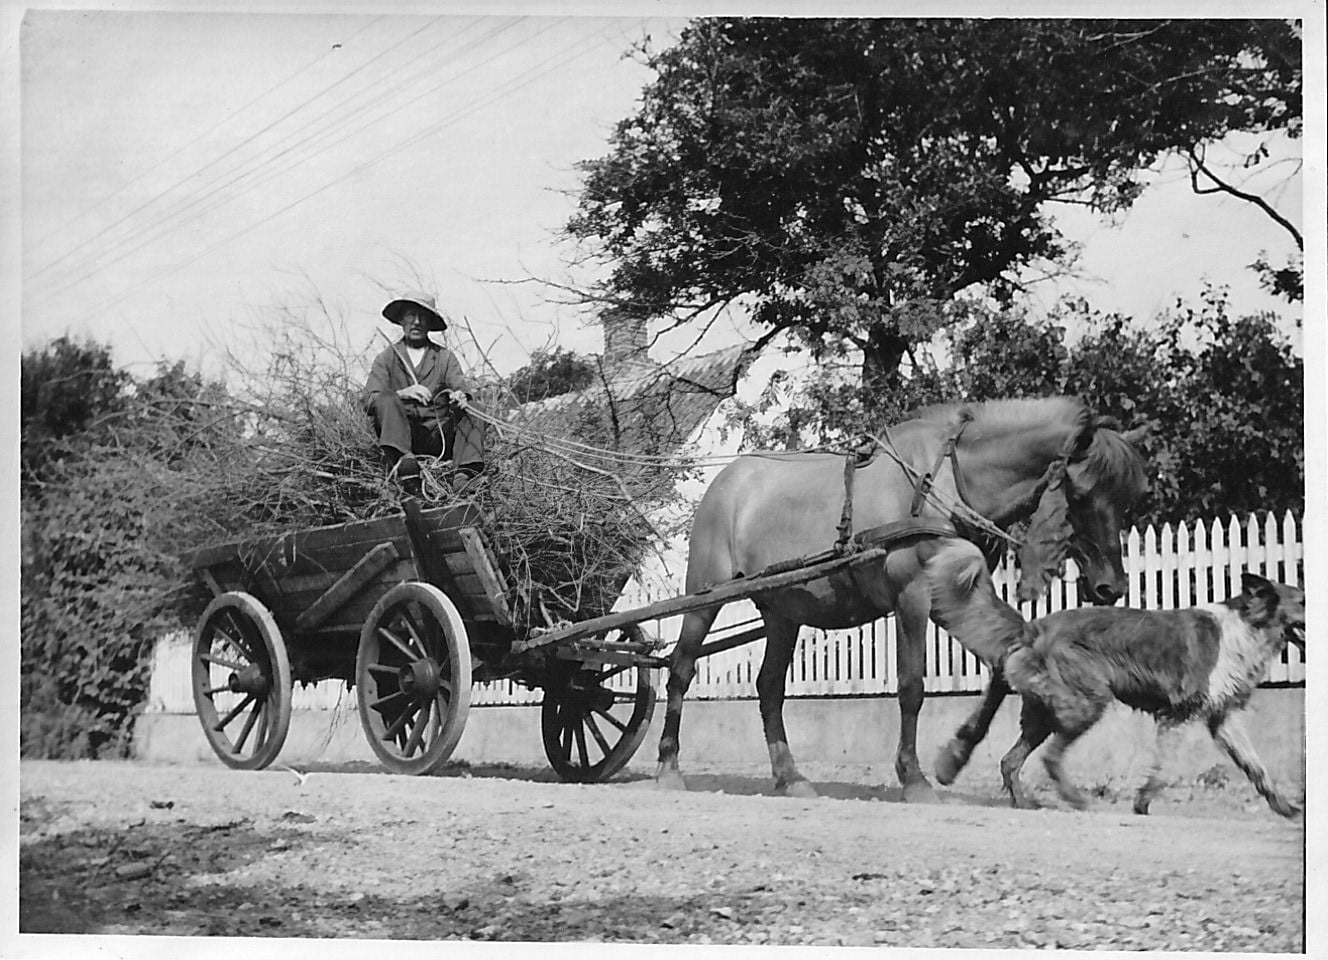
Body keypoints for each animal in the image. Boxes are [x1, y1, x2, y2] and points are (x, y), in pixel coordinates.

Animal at [656, 393, 1152, 801]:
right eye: (1081, 494)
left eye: (1129, 495)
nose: (1111, 586)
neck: (946, 480)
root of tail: (728, 480)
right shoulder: (911, 595)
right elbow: (912, 686)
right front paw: (914, 778)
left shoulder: (956, 595)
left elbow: (1002, 665)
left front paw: (959, 754)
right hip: (705, 597)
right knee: (681, 669)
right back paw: (668, 765)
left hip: (784, 611)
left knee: (770, 687)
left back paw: (790, 776)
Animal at [929, 541, 1301, 817]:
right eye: (1303, 600)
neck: (1246, 628)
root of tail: (1033, 627)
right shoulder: (1178, 716)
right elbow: (1163, 770)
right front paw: (1142, 803)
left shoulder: (1223, 720)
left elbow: (1258, 769)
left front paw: (1285, 808)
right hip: (1086, 703)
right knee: (1049, 757)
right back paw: (1074, 799)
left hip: (1042, 713)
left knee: (1008, 759)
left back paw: (1020, 801)